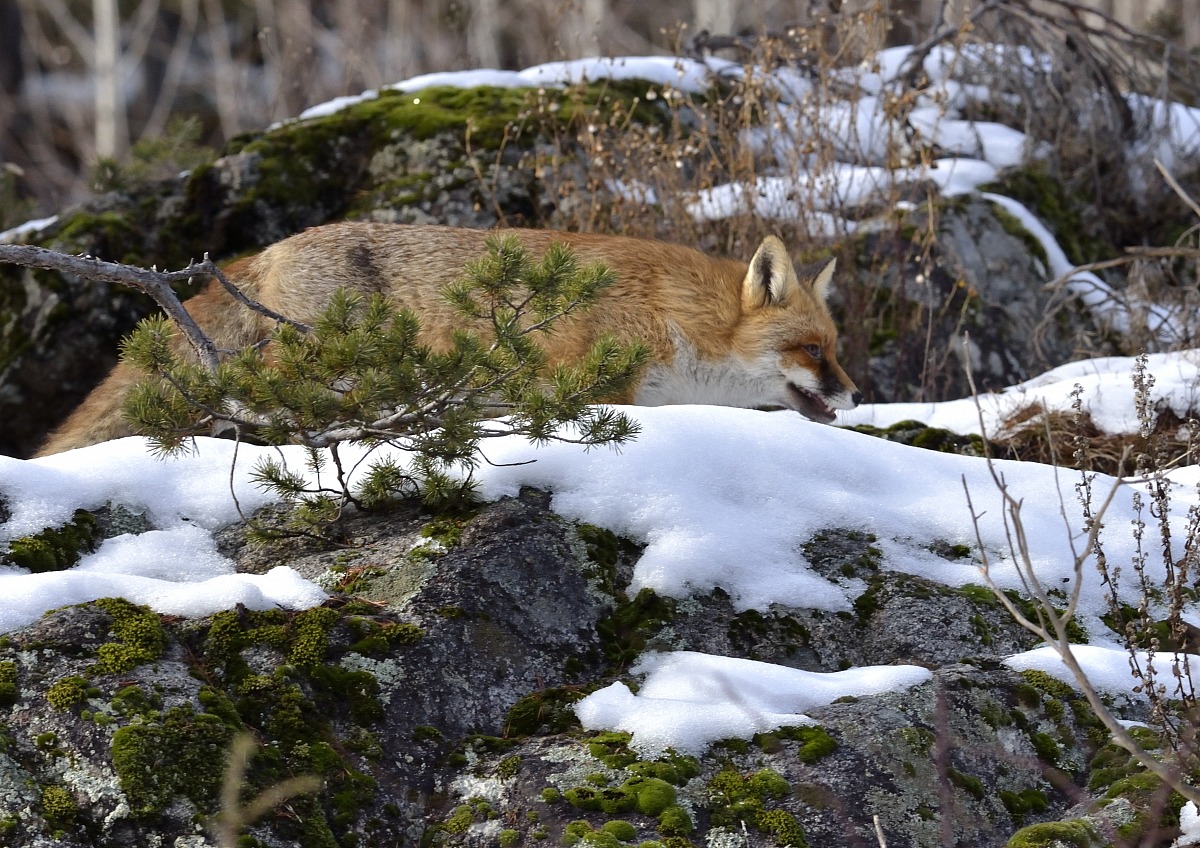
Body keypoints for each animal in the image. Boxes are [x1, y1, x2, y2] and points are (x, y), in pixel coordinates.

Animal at [36, 222, 862, 455]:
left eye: (835, 347)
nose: (856, 395)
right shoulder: (591, 380)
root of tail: (268, 250)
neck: (674, 315)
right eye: (811, 351)